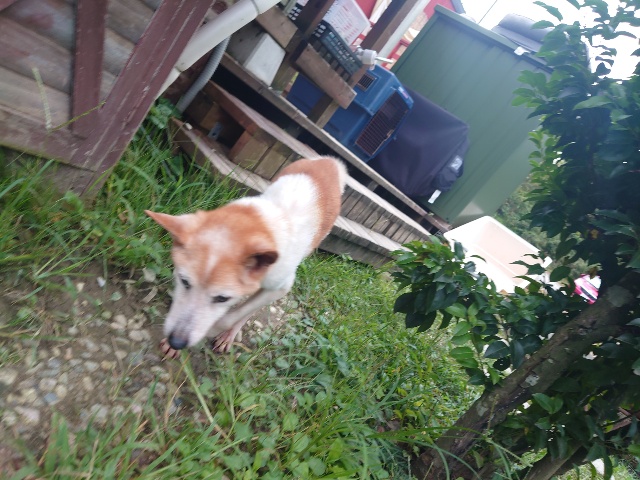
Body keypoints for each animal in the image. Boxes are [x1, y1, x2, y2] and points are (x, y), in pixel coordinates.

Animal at [145, 156, 347, 358]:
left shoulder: (282, 286)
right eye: (184, 281)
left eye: (222, 298)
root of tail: (330, 161)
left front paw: (215, 330)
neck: (264, 225)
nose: (176, 341)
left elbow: (233, 316)